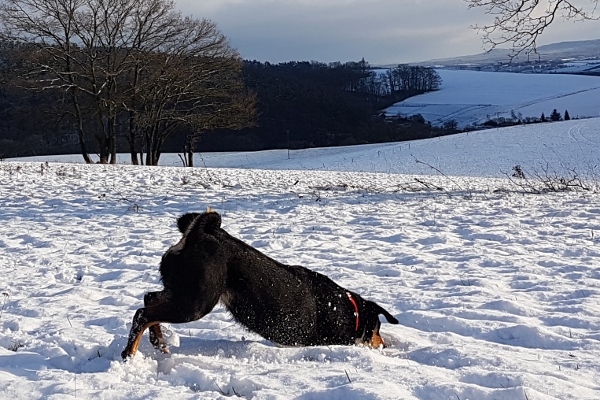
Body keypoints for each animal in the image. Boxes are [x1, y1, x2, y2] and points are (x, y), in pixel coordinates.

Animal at [120, 209, 398, 360]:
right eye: (378, 329)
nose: (383, 344)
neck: (351, 311)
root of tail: (199, 233)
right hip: (197, 300)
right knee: (144, 314)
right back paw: (130, 353)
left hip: (182, 291)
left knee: (150, 300)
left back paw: (159, 343)